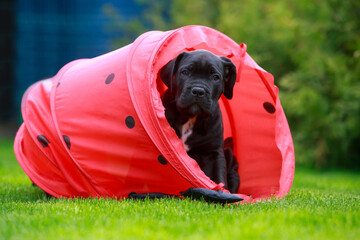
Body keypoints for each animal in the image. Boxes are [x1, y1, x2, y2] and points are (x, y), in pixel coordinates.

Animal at [160, 49, 239, 193]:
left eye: (215, 77)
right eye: (185, 72)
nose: (198, 90)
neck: (191, 117)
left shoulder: (213, 154)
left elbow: (217, 177)